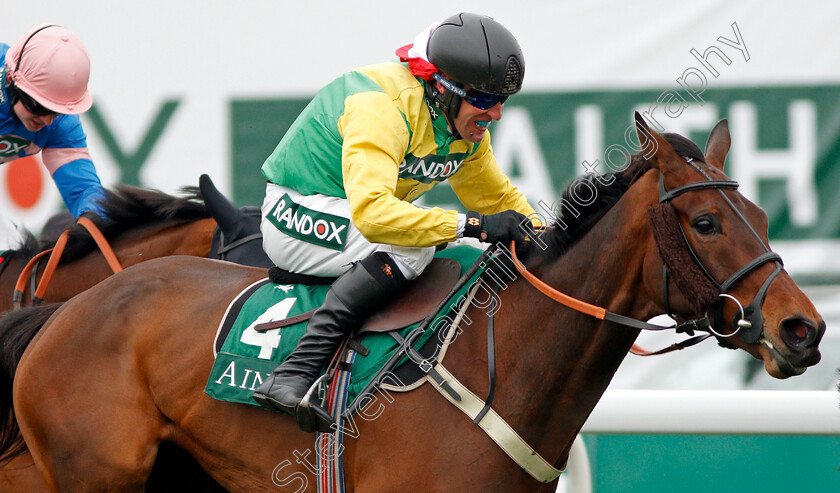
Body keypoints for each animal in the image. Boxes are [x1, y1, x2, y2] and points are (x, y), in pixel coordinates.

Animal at [0, 114, 828, 488]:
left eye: (761, 214)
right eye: (707, 221)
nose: (803, 327)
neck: (506, 363)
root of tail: (63, 313)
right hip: (95, 471)